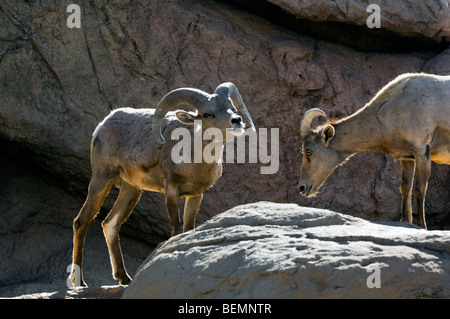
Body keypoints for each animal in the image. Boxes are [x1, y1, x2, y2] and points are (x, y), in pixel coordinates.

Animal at [69, 82, 255, 288]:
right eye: (207, 114)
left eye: (232, 107)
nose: (236, 120)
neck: (194, 157)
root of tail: (102, 126)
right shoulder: (171, 192)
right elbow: (176, 229)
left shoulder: (195, 196)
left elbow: (188, 230)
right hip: (102, 179)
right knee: (82, 221)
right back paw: (80, 282)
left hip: (131, 190)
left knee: (110, 224)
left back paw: (124, 278)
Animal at [298, 73, 450, 230]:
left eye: (309, 152)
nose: (302, 187)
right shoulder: (408, 158)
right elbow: (405, 188)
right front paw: (405, 221)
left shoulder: (422, 152)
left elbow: (419, 190)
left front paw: (422, 226)